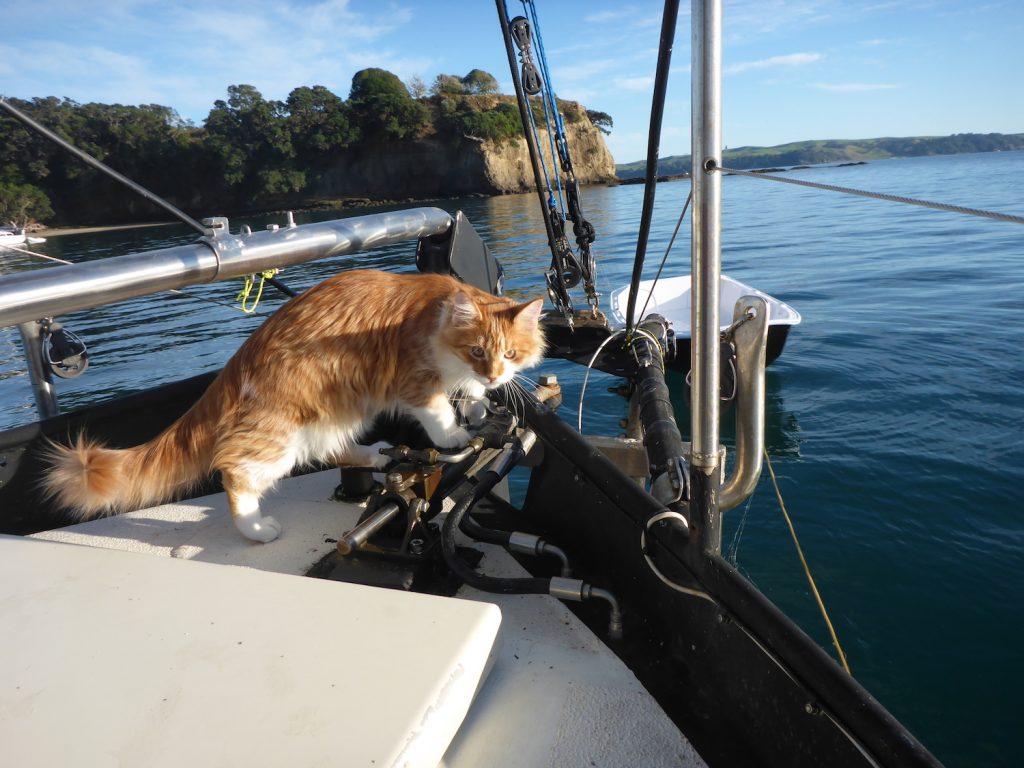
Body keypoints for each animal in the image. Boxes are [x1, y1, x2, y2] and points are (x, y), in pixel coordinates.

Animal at [41, 270, 544, 540]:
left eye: (510, 354)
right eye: (477, 351)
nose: (493, 374)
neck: (437, 316)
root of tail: (237, 363)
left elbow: (470, 397)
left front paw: (478, 406)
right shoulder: (415, 379)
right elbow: (439, 415)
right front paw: (457, 434)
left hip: (338, 413)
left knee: (333, 450)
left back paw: (375, 454)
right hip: (280, 435)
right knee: (235, 471)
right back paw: (254, 528)